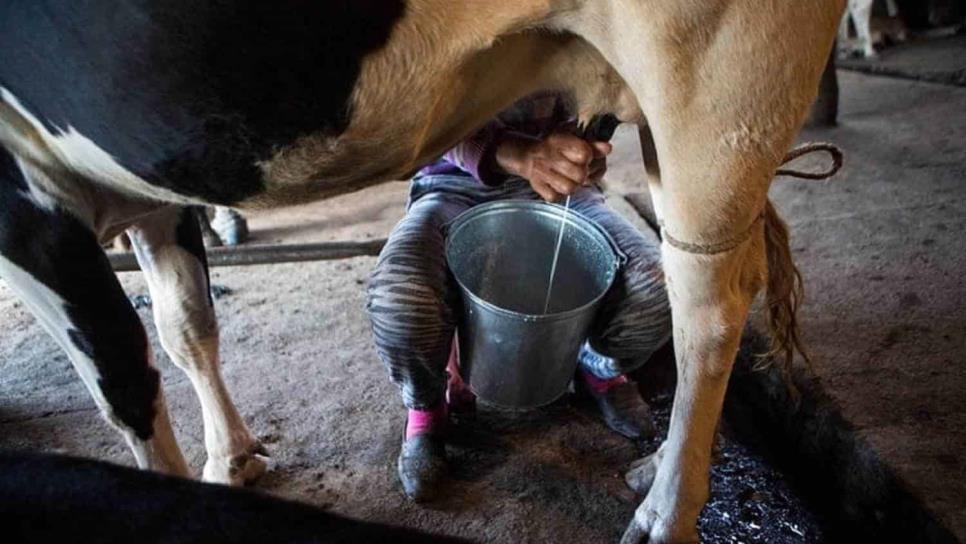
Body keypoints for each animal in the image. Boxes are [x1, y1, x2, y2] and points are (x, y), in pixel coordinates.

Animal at [0, 2, 848, 540]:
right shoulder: (154, 187)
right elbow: (188, 328)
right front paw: (231, 458)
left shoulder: (26, 196)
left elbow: (125, 383)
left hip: (718, 78)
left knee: (707, 305)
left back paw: (665, 515)